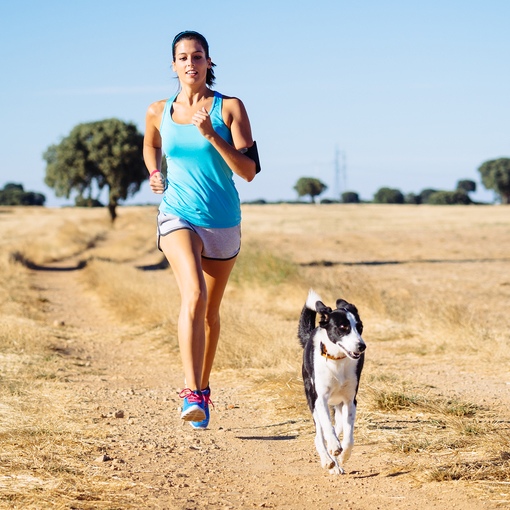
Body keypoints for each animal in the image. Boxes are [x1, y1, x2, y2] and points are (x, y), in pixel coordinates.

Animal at [298, 290, 366, 474]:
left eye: (360, 327)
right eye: (343, 328)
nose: (362, 346)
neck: (337, 360)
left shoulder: (350, 401)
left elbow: (349, 437)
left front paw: (343, 456)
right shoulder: (320, 399)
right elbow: (327, 428)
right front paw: (335, 447)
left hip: (339, 407)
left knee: (338, 427)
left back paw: (336, 463)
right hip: (312, 399)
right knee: (319, 434)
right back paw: (328, 460)